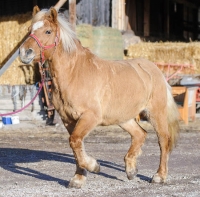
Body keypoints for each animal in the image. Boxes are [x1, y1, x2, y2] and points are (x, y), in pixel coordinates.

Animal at [19, 6, 180, 189]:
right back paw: (131, 170)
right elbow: (76, 145)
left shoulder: (90, 117)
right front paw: (78, 178)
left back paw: (159, 176)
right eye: (29, 30)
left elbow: (75, 141)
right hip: (123, 118)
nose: (24, 53)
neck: (74, 74)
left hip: (155, 114)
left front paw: (93, 166)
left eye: (48, 31)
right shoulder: (68, 120)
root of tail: (154, 69)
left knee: (163, 140)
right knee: (140, 134)